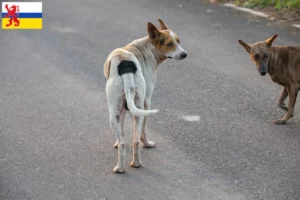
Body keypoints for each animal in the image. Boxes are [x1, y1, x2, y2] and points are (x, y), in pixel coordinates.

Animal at [104, 18, 186, 173]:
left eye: (178, 41)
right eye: (169, 44)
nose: (185, 54)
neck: (148, 47)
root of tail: (126, 66)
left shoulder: (132, 106)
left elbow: (125, 131)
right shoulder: (143, 103)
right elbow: (136, 131)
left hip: (120, 112)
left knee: (131, 141)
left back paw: (125, 165)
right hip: (132, 109)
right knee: (134, 140)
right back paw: (132, 164)